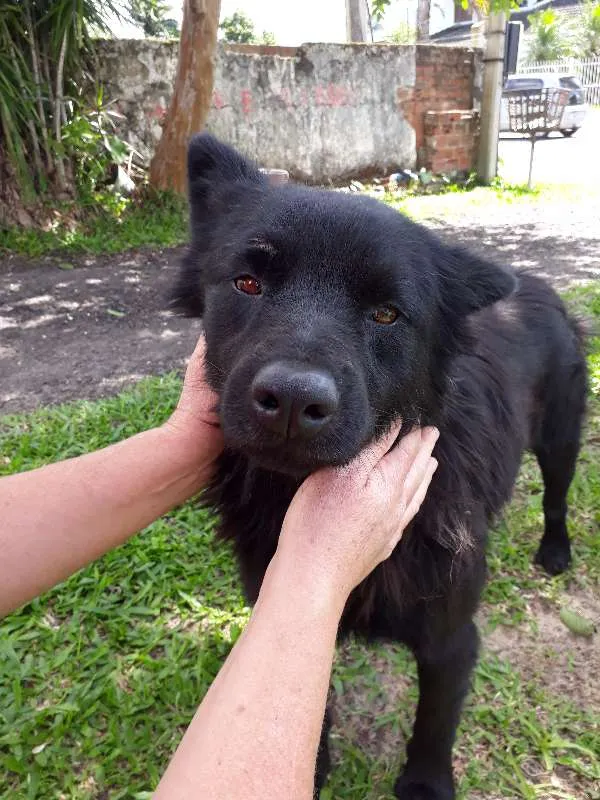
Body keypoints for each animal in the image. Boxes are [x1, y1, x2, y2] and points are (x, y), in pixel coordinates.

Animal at [171, 136, 588, 800]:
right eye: (247, 282)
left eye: (388, 314)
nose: (293, 401)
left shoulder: (451, 638)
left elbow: (434, 723)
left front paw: (425, 783)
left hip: (561, 438)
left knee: (555, 495)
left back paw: (554, 549)